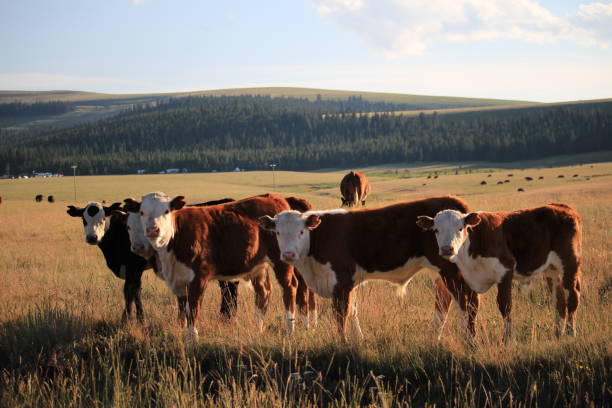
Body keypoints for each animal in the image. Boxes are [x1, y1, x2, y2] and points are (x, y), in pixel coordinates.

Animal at [137, 193, 316, 342]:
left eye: (166, 211)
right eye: (142, 212)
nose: (152, 230)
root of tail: (276, 197)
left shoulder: (199, 277)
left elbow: (193, 307)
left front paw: (192, 339)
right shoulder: (179, 279)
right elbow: (184, 307)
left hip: (282, 261)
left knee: (290, 287)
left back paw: (290, 329)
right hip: (259, 266)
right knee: (264, 291)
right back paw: (258, 328)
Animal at [258, 197, 478, 342]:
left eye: (301, 231)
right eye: (277, 232)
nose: (288, 255)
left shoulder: (341, 280)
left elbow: (341, 315)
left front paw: (342, 343)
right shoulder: (349, 283)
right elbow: (353, 311)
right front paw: (358, 339)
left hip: (450, 268)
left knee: (465, 301)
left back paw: (468, 340)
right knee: (446, 299)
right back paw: (434, 337)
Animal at [416, 203, 584, 342]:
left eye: (460, 228)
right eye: (436, 230)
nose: (446, 249)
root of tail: (563, 207)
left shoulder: (505, 271)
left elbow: (504, 305)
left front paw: (507, 339)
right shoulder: (469, 280)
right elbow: (471, 309)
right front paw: (471, 342)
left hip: (570, 262)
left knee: (572, 296)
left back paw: (571, 333)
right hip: (551, 269)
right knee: (559, 299)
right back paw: (558, 334)